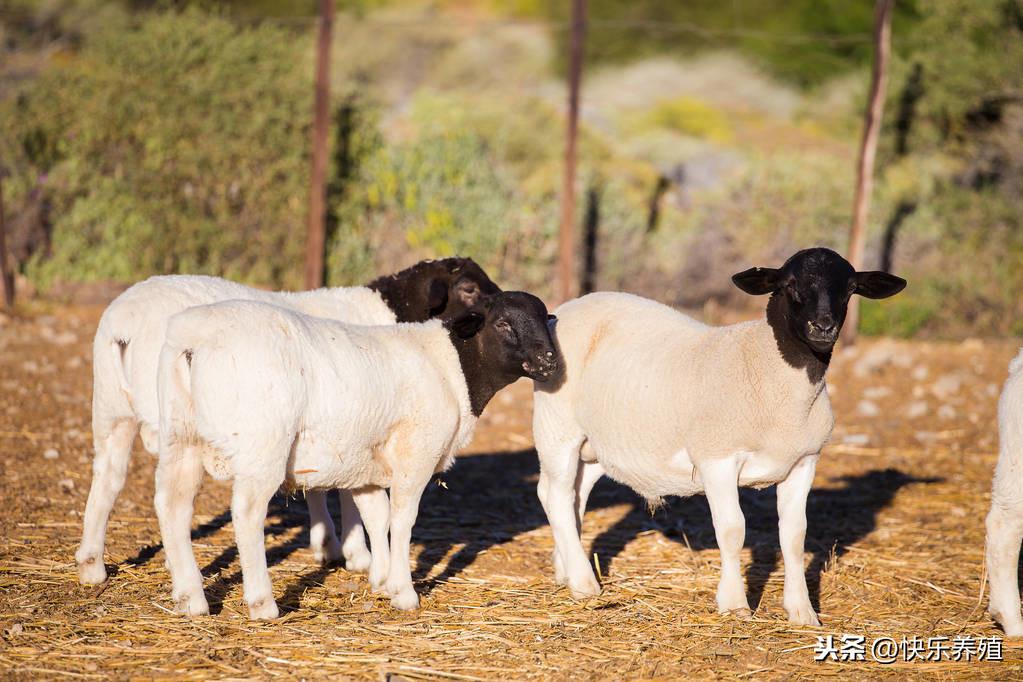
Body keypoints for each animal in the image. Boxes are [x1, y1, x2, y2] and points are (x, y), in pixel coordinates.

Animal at [75, 258, 499, 584]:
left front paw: (328, 544)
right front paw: (354, 552)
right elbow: (345, 490)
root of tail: (123, 327)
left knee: (108, 478)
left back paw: (92, 566)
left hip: (111, 411)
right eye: (468, 289)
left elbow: (319, 486)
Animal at [153, 290, 560, 617]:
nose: (550, 361)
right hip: (262, 445)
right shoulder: (416, 453)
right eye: (503, 323)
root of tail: (194, 342)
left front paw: (381, 579)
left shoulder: (367, 462)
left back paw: (190, 599)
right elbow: (402, 520)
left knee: (172, 506)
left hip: (179, 437)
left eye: (545, 318)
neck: (452, 367)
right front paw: (404, 592)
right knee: (246, 514)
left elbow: (376, 517)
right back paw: (262, 603)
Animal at [531, 248, 908, 625]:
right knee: (556, 496)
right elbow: (732, 529)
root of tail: (568, 308)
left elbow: (794, 534)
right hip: (557, 426)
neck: (768, 370)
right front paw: (735, 604)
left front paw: (802, 611)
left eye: (850, 288)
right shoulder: (717, 458)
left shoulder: (804, 461)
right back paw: (584, 584)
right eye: (789, 284)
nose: (823, 327)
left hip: (597, 444)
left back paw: (566, 570)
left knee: (574, 495)